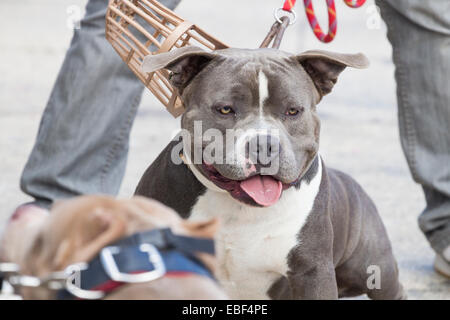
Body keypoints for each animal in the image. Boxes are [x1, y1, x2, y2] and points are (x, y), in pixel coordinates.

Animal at [135, 45, 406, 300]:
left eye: (293, 111)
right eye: (225, 109)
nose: (265, 144)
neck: (241, 209)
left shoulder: (313, 273)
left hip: (373, 269)